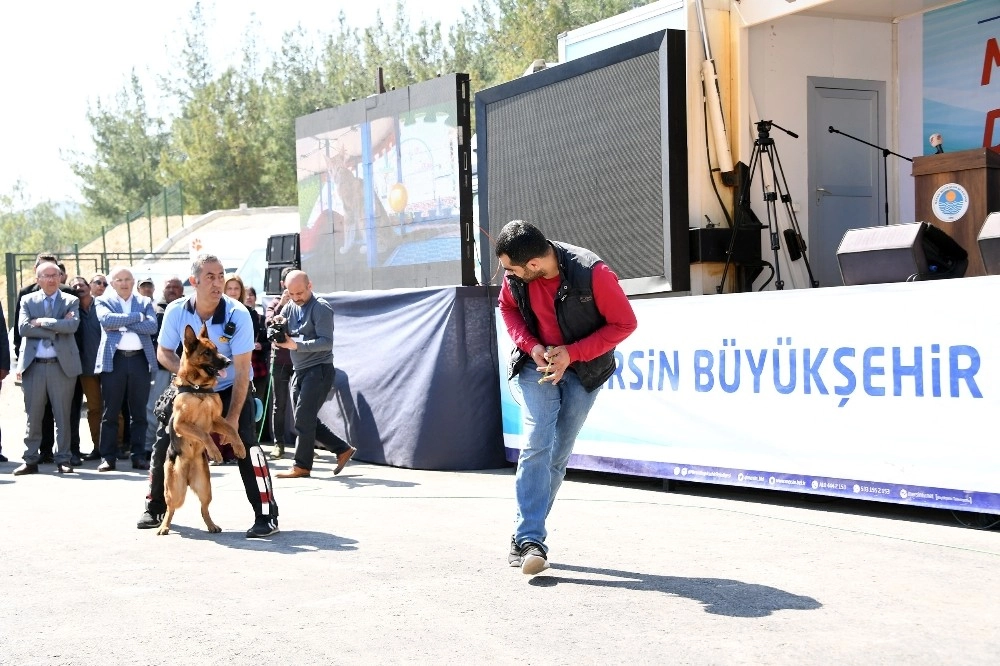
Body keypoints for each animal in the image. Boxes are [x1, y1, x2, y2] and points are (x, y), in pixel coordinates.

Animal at [159, 322, 249, 536]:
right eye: (207, 353)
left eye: (216, 349)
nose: (228, 362)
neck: (199, 388)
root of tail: (188, 476)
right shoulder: (181, 424)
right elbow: (203, 434)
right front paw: (215, 451)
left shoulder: (216, 420)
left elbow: (231, 430)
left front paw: (239, 447)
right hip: (174, 490)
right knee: (170, 508)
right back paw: (164, 526)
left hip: (205, 488)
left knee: (204, 508)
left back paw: (211, 525)